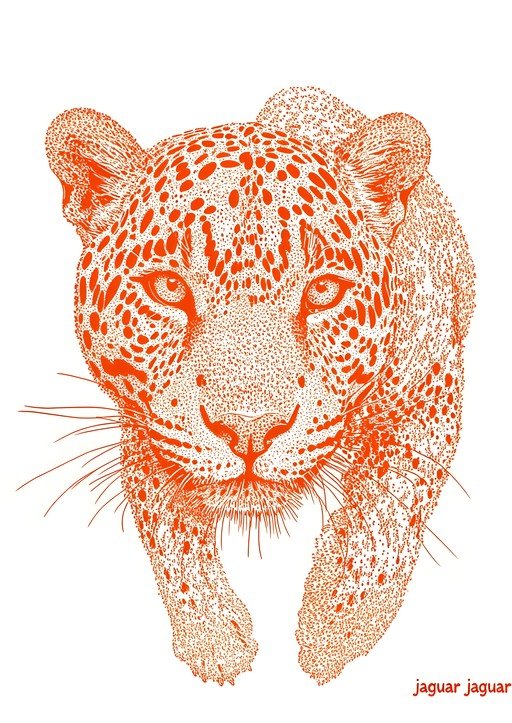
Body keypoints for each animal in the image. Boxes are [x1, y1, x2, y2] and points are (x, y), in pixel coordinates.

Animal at [44, 86, 475, 685]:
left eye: (323, 292)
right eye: (168, 287)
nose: (249, 430)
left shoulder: (430, 389)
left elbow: (390, 509)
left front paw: (336, 625)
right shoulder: (147, 424)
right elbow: (170, 532)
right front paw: (215, 636)